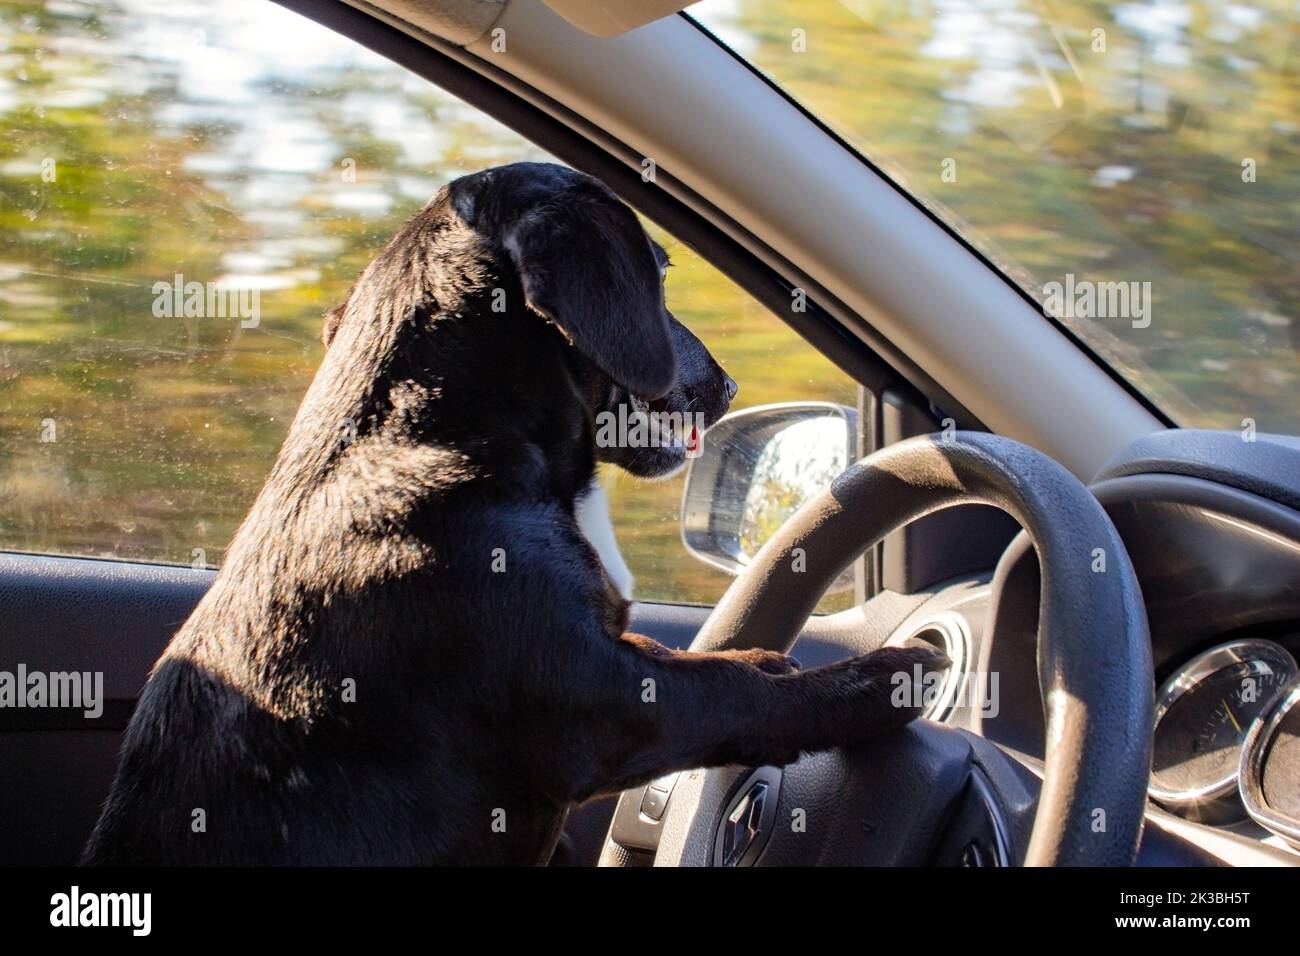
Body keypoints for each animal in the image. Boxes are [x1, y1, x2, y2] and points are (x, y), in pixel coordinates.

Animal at [86, 164, 946, 868]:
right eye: (662, 272)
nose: (728, 385)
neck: (429, 431)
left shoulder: (616, 648)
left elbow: (714, 663)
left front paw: (768, 655)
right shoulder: (610, 703)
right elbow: (745, 696)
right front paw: (886, 674)